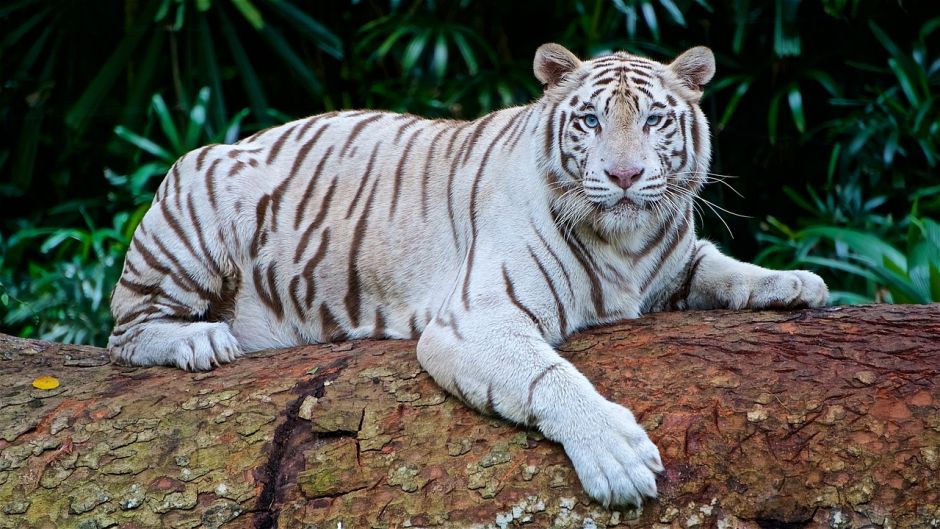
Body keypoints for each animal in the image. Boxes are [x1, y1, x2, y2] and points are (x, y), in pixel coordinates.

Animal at [108, 43, 829, 507]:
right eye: (590, 119)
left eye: (653, 119)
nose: (624, 175)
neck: (626, 242)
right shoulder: (477, 319)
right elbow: (550, 377)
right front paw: (617, 458)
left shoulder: (674, 263)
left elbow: (723, 266)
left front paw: (798, 282)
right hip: (195, 205)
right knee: (125, 332)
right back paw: (201, 340)